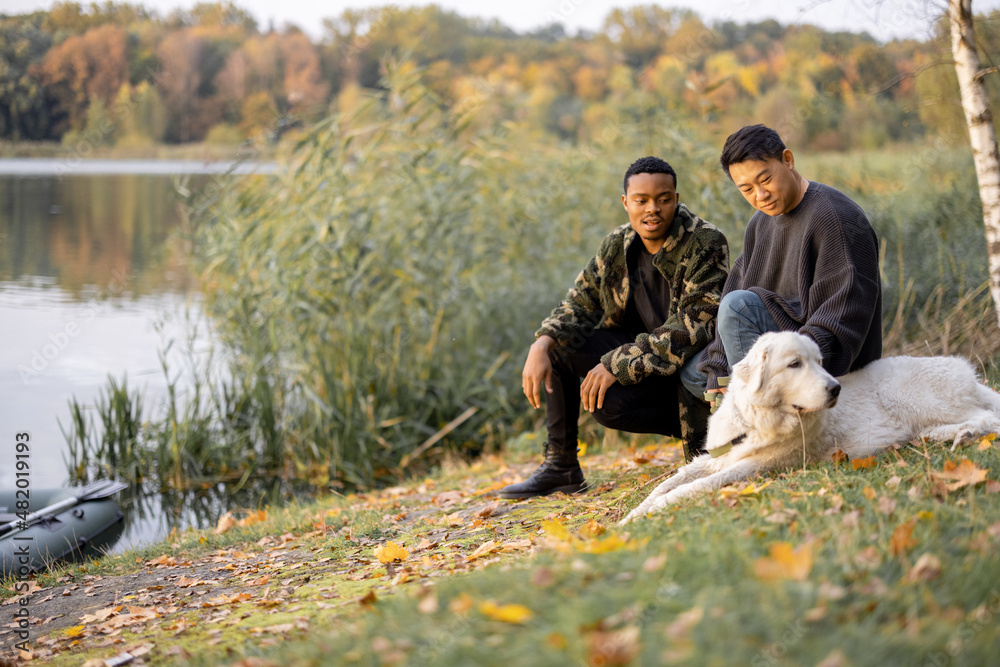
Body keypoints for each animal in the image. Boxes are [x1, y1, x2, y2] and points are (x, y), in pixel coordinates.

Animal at [620, 332, 1000, 520]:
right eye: (794, 364)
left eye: (819, 362)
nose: (835, 389)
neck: (759, 421)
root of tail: (965, 370)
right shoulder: (714, 458)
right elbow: (669, 483)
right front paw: (633, 513)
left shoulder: (753, 466)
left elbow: (687, 489)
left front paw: (645, 515)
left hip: (910, 396)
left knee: (987, 417)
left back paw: (966, 434)